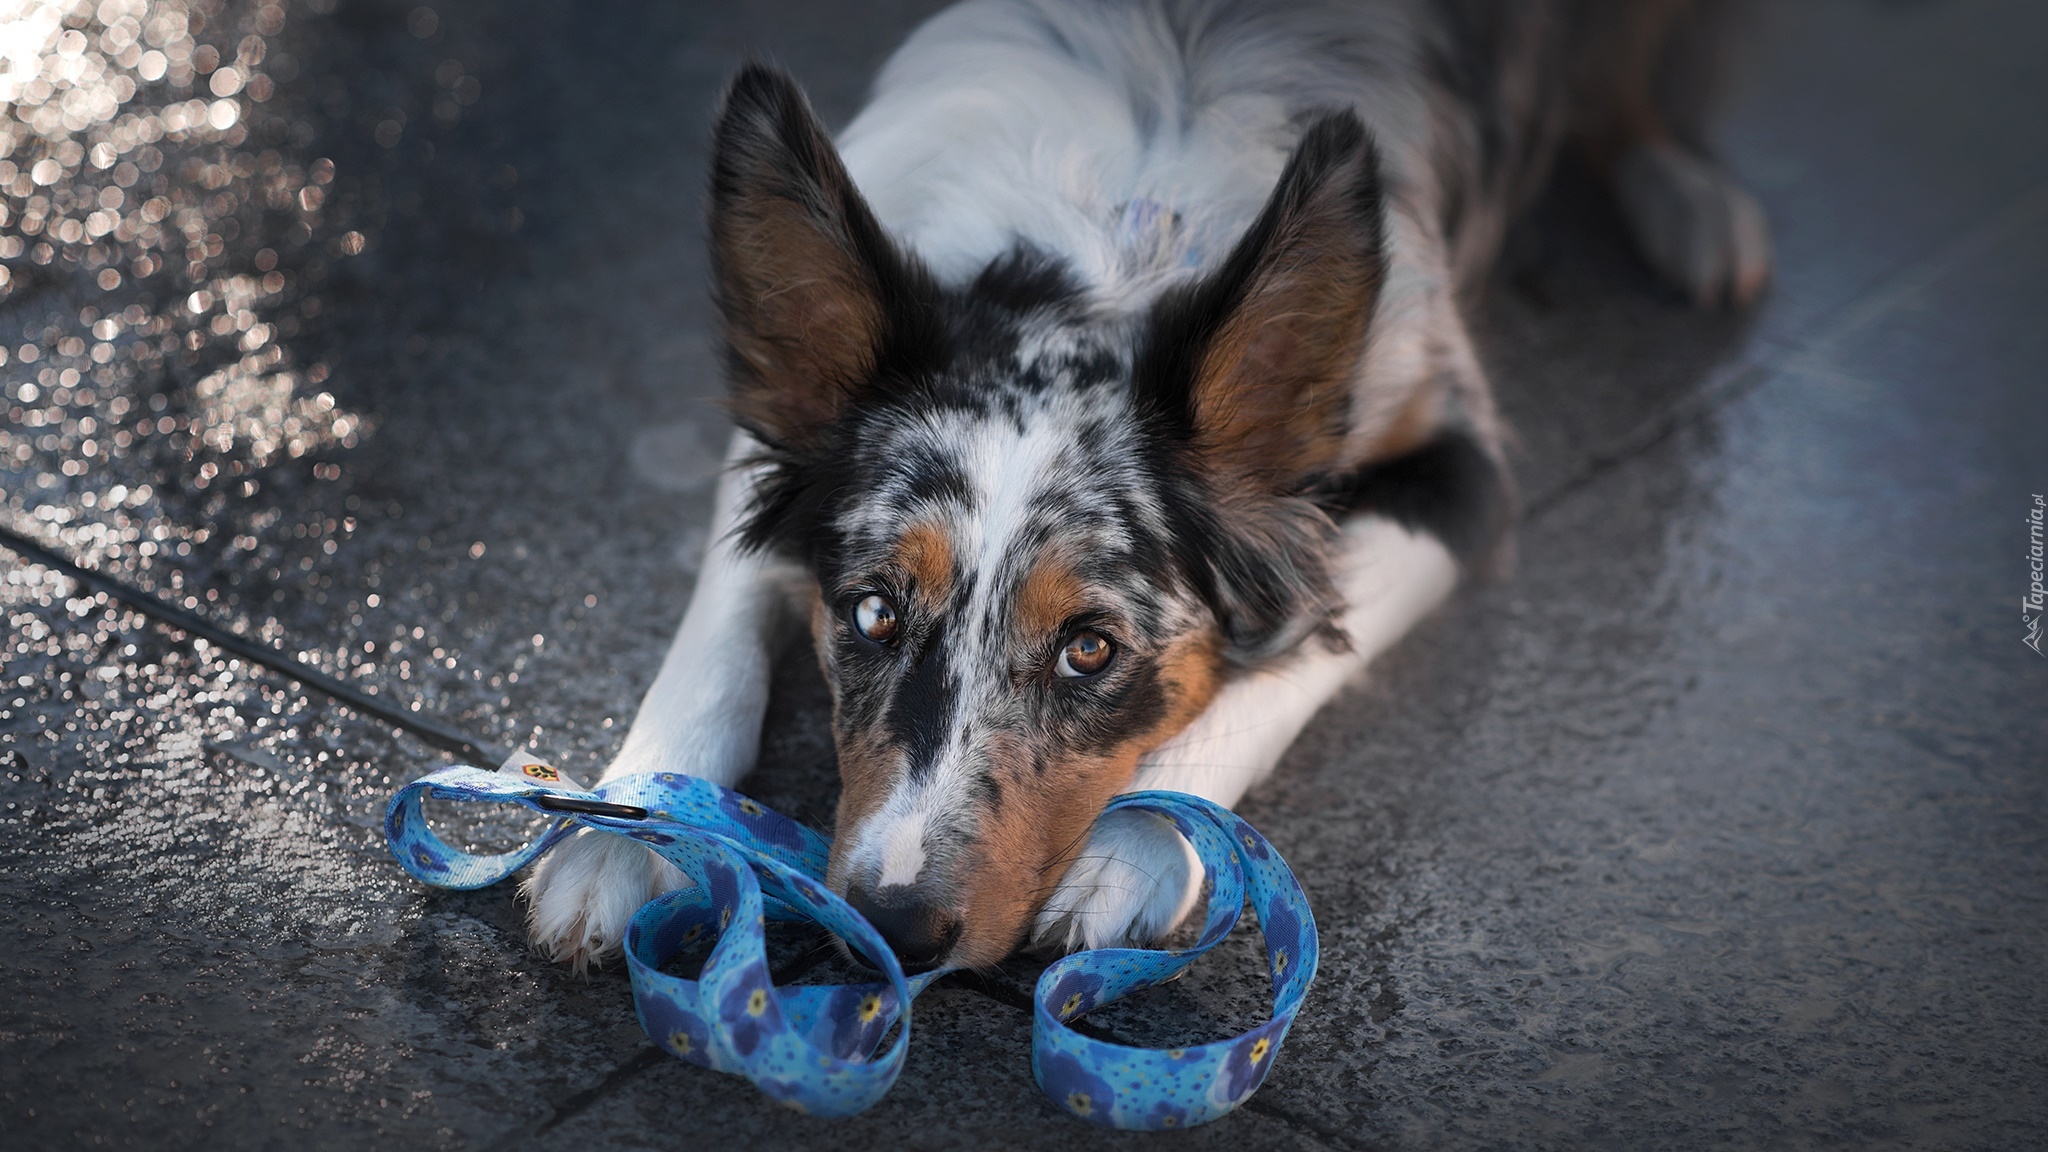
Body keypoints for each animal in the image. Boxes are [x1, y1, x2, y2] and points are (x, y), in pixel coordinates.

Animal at [520, 0, 1769, 967]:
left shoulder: (1459, 472)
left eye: (1089, 649)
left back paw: (1688, 200)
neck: (1110, 254)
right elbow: (718, 631)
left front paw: (1138, 847)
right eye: (871, 614)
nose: (894, 927)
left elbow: (1292, 660)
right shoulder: (775, 454)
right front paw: (634, 826)